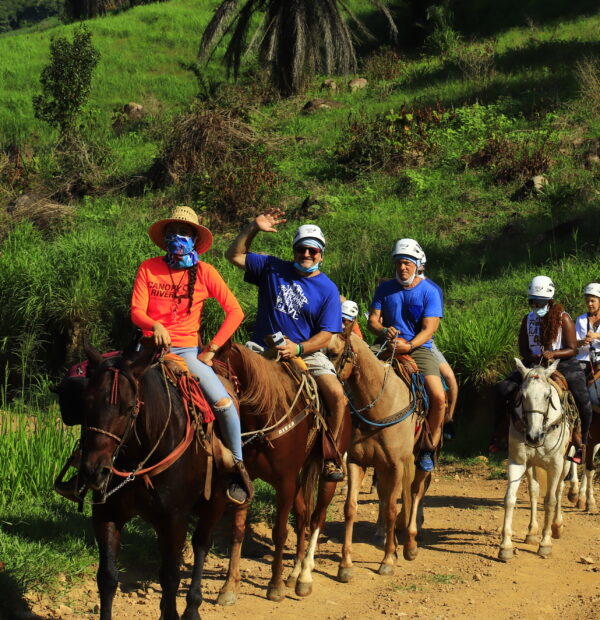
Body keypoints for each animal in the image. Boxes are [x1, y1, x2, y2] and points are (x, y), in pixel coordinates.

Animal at [77, 344, 213, 620]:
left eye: (129, 408)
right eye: (86, 402)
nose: (93, 471)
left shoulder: (175, 520)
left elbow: (170, 577)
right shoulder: (107, 514)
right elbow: (107, 577)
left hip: (215, 503)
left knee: (201, 545)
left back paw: (193, 606)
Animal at [200, 342, 352, 604]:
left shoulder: (285, 482)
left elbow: (279, 532)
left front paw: (275, 586)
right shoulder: (245, 481)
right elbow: (237, 531)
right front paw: (229, 587)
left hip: (327, 474)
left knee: (317, 517)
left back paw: (304, 577)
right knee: (302, 515)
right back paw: (294, 573)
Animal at [328, 326, 422, 580]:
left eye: (333, 352)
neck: (379, 407)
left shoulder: (396, 465)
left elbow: (391, 508)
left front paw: (388, 559)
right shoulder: (357, 462)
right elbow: (350, 508)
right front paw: (345, 565)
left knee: (415, 492)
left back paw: (410, 545)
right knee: (385, 493)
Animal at [496, 358, 572, 560]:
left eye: (547, 396)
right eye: (522, 396)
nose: (533, 437)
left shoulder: (555, 465)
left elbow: (550, 501)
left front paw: (545, 543)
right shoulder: (517, 462)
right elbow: (510, 499)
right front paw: (505, 546)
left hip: (567, 462)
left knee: (559, 490)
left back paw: (557, 526)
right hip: (531, 465)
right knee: (534, 492)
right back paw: (531, 533)